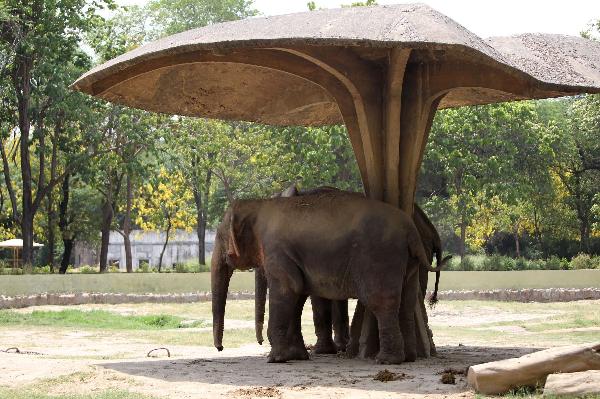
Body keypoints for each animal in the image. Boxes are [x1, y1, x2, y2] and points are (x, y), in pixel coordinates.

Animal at [213, 192, 442, 364]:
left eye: (219, 238)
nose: (221, 348)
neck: (260, 204)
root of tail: (411, 230)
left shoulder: (277, 252)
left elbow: (287, 291)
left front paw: (274, 359)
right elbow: (297, 295)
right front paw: (297, 356)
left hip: (380, 257)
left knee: (381, 303)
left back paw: (386, 361)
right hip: (408, 262)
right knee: (407, 301)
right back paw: (409, 358)